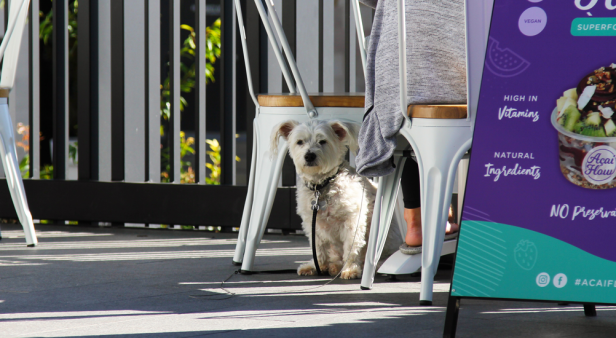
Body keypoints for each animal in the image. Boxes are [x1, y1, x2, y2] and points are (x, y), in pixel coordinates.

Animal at [272, 120, 402, 278]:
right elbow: (318, 248)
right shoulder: (312, 222)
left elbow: (352, 247)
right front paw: (317, 266)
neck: (322, 185)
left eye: (322, 141)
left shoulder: (353, 220)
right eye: (300, 142)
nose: (309, 155)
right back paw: (331, 266)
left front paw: (351, 269)